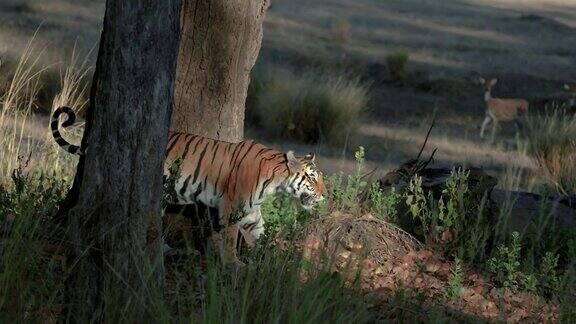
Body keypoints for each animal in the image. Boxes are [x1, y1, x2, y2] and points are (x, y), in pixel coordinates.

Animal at [51, 107, 326, 264]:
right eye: (312, 177)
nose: (325, 196)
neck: (275, 181)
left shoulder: (250, 211)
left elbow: (261, 231)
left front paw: (274, 256)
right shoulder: (231, 206)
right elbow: (229, 237)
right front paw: (233, 264)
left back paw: (172, 251)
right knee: (78, 212)